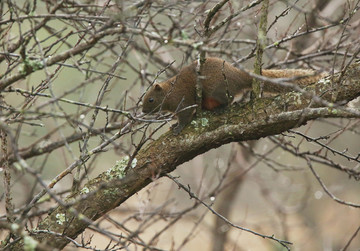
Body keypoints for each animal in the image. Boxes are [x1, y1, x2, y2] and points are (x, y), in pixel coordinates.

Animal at [141, 57, 326, 134]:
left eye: (151, 99)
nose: (142, 112)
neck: (168, 91)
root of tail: (238, 75)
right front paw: (174, 124)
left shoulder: (182, 99)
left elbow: (186, 116)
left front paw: (178, 127)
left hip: (216, 89)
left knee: (229, 100)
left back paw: (220, 108)